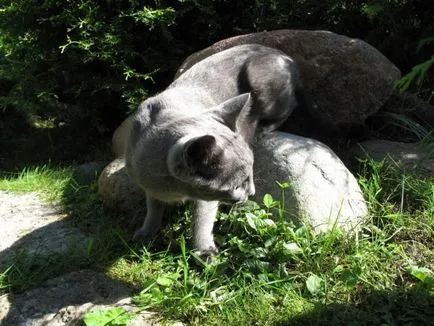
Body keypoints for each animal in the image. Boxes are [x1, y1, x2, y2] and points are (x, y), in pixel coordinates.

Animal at [122, 44, 306, 260]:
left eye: (248, 179)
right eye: (238, 185)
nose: (252, 192)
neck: (173, 188)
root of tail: (285, 56)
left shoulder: (204, 201)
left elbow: (201, 221)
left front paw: (204, 251)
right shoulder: (149, 187)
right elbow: (154, 208)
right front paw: (146, 233)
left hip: (261, 83)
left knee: (291, 105)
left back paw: (263, 128)